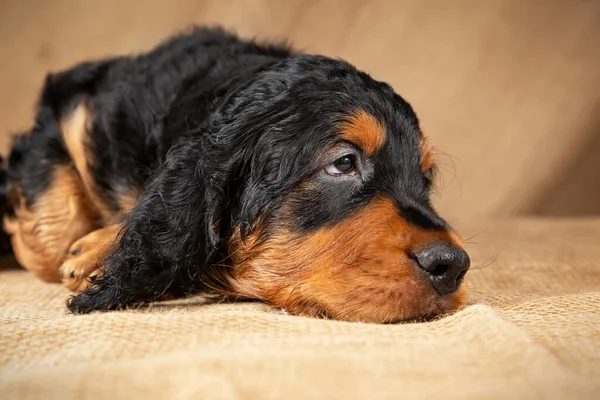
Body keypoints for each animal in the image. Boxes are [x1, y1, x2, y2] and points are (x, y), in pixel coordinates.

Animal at [0, 27, 468, 322]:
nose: (452, 266)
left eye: (425, 178)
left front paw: (98, 252)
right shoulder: (74, 106)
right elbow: (50, 233)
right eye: (344, 162)